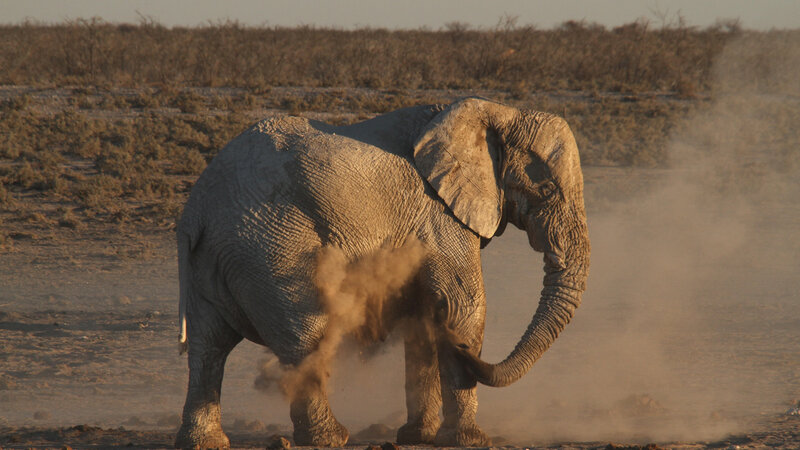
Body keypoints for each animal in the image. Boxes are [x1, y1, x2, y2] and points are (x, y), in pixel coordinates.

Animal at [173, 96, 588, 448]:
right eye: (546, 189)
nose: (464, 350)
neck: (494, 112)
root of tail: (197, 211)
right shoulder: (439, 216)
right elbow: (461, 306)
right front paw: (470, 441)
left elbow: (425, 316)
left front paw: (418, 436)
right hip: (271, 247)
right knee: (303, 334)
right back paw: (330, 438)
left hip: (214, 259)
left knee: (208, 347)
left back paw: (205, 443)